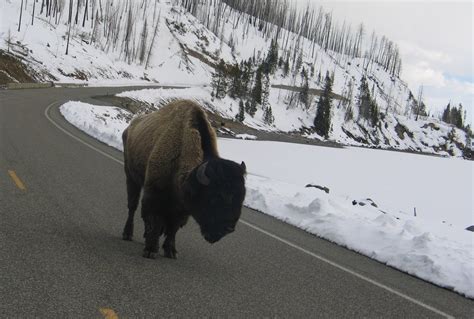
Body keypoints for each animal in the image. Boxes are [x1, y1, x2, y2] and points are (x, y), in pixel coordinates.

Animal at [120, 100, 246, 260]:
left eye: (241, 198)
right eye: (215, 197)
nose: (228, 228)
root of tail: (131, 126)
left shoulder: (182, 208)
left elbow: (173, 227)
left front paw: (171, 251)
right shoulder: (154, 194)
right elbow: (154, 220)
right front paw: (150, 250)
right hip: (131, 177)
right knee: (132, 206)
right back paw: (127, 234)